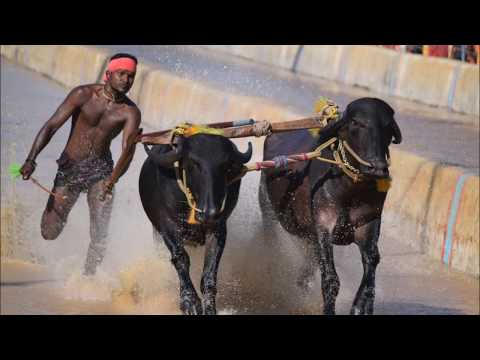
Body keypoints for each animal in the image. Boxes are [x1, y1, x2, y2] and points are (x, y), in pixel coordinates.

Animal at [138, 134, 251, 314]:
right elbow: (180, 258)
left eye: (225, 165)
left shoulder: (218, 228)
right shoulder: (168, 225)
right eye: (193, 162)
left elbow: (210, 269)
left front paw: (209, 307)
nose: (210, 212)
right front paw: (189, 301)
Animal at [258, 98, 402, 316]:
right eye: (356, 122)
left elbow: (370, 275)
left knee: (307, 270)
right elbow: (331, 280)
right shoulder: (324, 226)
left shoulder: (369, 227)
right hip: (269, 212)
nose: (377, 168)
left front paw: (360, 307)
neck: (350, 190)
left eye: (387, 126)